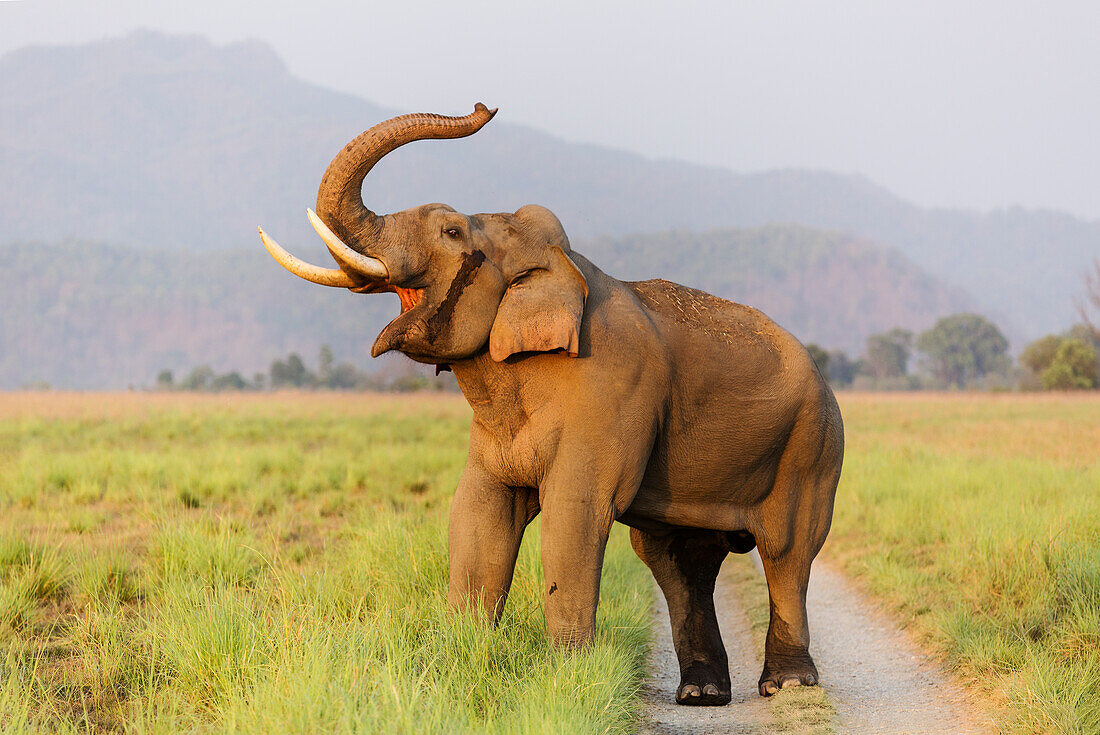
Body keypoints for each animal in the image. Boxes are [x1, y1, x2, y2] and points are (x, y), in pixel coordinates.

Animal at [257, 103, 840, 704]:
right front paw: (466, 653)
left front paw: (565, 675)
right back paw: (701, 695)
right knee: (676, 559)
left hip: (813, 444)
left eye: (451, 230)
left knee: (787, 550)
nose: (484, 106)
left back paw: (787, 685)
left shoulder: (610, 391)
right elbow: (478, 512)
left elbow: (575, 512)